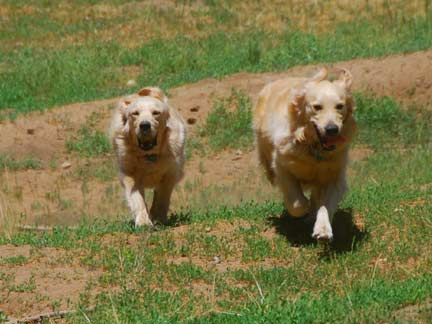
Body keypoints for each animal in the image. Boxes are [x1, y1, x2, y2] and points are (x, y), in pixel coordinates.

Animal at [109, 87, 186, 227]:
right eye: (135, 113)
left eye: (156, 113)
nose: (144, 125)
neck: (148, 155)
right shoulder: (129, 173)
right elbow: (137, 198)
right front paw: (144, 221)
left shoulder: (171, 172)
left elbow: (162, 196)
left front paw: (158, 217)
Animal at [251, 68, 356, 240]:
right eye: (317, 107)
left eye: (340, 106)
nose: (332, 129)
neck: (313, 149)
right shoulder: (282, 166)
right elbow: (297, 203)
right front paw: (305, 209)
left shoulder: (334, 175)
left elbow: (325, 205)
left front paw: (323, 229)